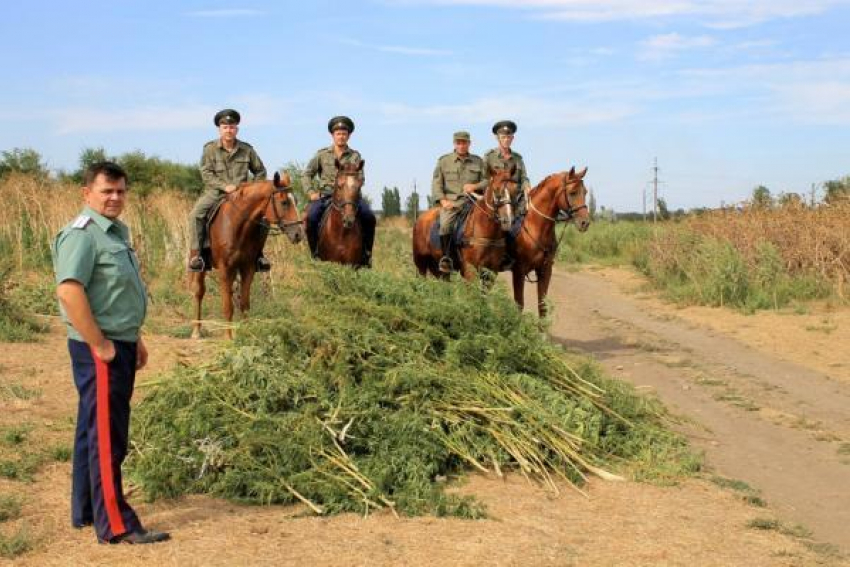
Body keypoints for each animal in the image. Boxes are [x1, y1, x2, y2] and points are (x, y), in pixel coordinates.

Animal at [190, 171, 304, 340]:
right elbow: (227, 306)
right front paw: (228, 336)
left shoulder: (248, 268)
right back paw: (196, 330)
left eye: (295, 201)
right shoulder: (225, 269)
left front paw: (247, 332)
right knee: (199, 292)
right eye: (284, 202)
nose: (298, 234)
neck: (238, 224)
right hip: (200, 267)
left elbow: (244, 303)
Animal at [510, 168, 588, 320]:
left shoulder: (545, 270)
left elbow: (542, 306)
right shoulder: (519, 271)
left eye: (586, 192)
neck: (534, 226)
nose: (585, 223)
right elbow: (519, 305)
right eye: (572, 192)